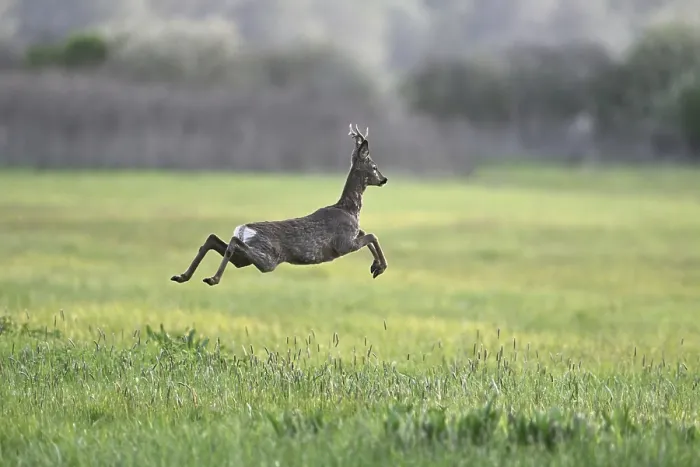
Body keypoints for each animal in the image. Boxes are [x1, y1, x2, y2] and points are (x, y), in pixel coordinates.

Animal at [170, 123, 389, 287]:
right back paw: (212, 278)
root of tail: (243, 230)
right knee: (232, 243)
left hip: (247, 259)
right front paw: (380, 267)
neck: (349, 209)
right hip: (269, 258)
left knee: (214, 239)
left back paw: (182, 276)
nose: (384, 179)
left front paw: (375, 266)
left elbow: (367, 234)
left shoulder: (352, 236)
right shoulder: (343, 244)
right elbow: (372, 236)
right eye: (374, 166)